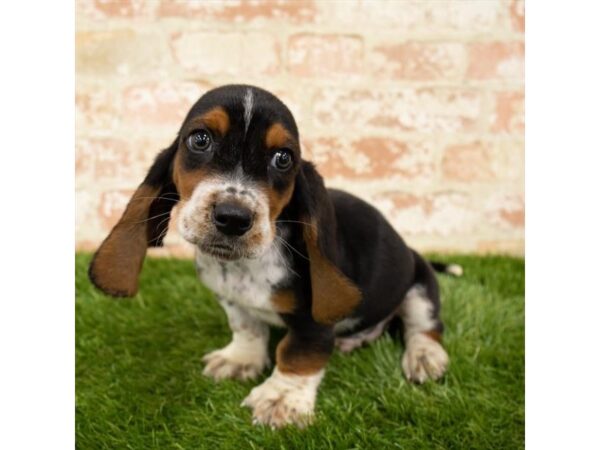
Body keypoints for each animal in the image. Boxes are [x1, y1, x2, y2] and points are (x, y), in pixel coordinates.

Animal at [89, 85, 462, 428]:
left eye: (283, 158)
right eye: (199, 139)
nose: (233, 217)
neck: (243, 267)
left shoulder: (313, 322)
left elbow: (297, 353)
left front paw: (281, 399)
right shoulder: (231, 300)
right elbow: (246, 328)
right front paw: (241, 360)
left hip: (419, 286)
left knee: (424, 325)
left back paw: (424, 356)